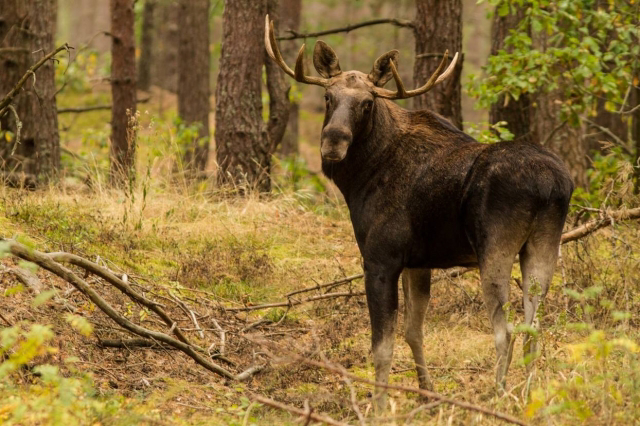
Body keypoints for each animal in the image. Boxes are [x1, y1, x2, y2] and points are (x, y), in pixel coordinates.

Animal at [262, 15, 572, 410]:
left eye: (367, 103)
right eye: (329, 97)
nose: (333, 142)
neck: (361, 176)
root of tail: (552, 184)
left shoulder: (380, 259)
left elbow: (382, 345)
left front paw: (380, 405)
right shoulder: (418, 261)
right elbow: (414, 331)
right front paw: (428, 395)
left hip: (495, 248)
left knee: (505, 331)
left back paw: (498, 397)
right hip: (543, 245)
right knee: (534, 327)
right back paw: (529, 397)